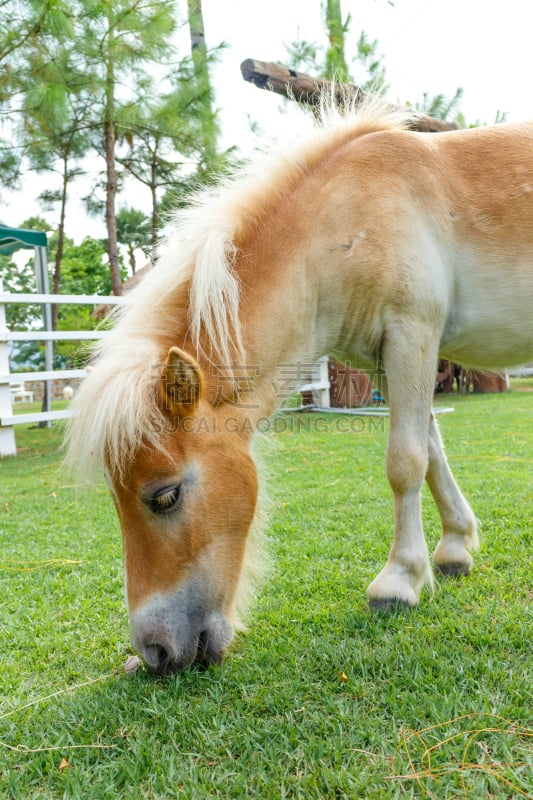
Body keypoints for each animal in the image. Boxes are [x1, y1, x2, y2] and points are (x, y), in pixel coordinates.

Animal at [65, 100, 532, 676]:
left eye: (165, 496)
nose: (154, 653)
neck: (348, 217)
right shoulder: (389, 357)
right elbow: (431, 451)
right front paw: (455, 548)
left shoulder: (412, 334)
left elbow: (405, 462)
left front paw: (399, 579)